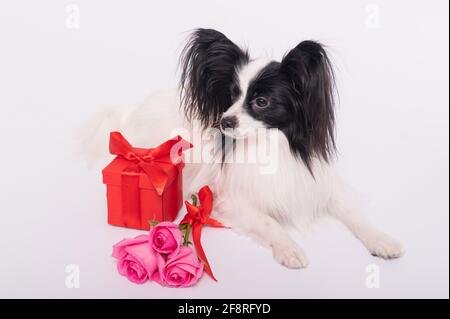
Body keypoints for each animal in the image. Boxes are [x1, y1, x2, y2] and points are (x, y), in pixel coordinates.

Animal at [83, 28, 400, 268]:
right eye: (231, 96)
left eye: (261, 101)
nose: (225, 121)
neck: (269, 144)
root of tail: (135, 109)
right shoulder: (228, 199)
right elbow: (269, 222)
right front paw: (289, 249)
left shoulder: (322, 186)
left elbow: (355, 214)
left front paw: (382, 239)